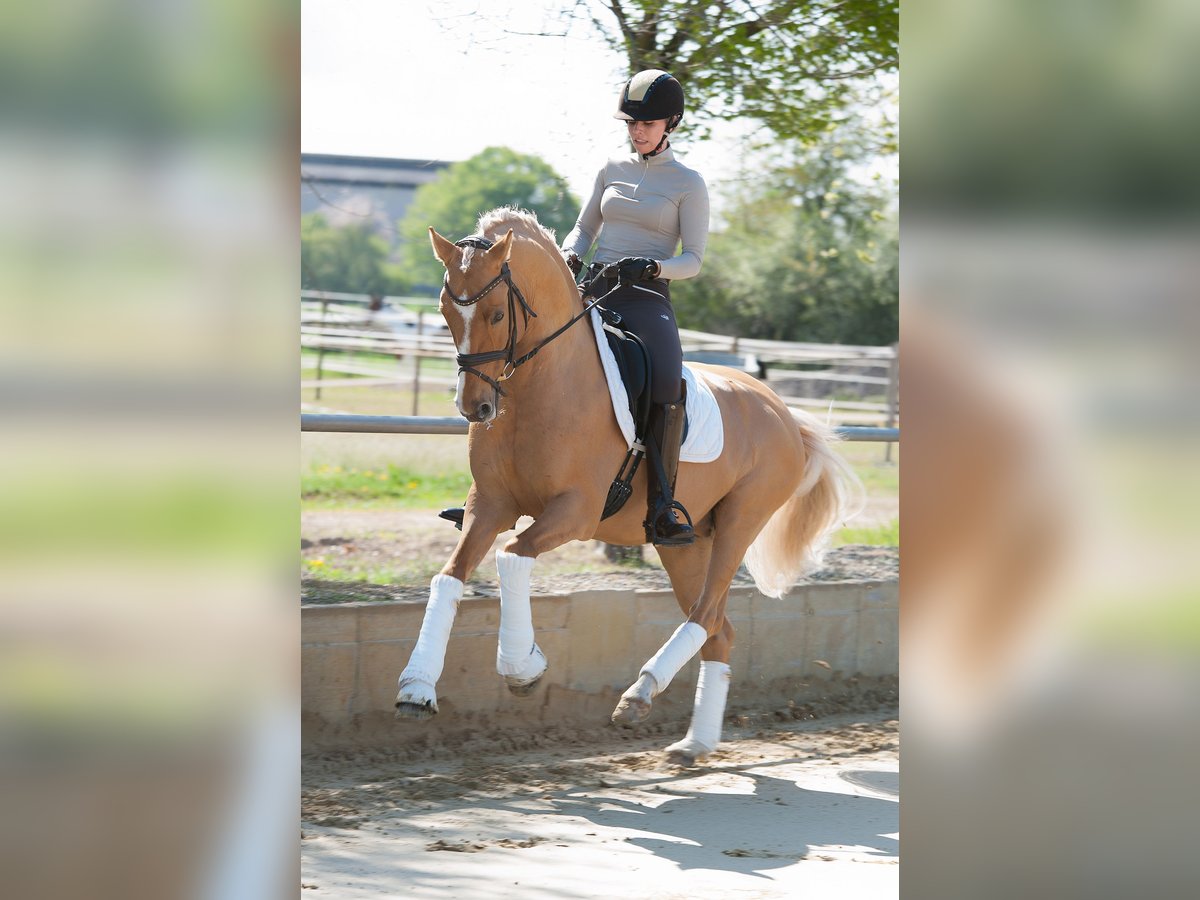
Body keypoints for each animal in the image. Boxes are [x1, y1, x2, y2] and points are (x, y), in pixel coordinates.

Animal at [393, 207, 854, 763]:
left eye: (498, 315)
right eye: (445, 312)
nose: (474, 408)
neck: (541, 385)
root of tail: (783, 412)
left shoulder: (576, 510)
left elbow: (511, 556)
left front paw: (523, 667)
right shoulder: (490, 504)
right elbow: (450, 576)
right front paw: (417, 688)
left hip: (740, 524)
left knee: (705, 614)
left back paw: (640, 694)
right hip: (685, 545)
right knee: (719, 630)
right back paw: (694, 742)